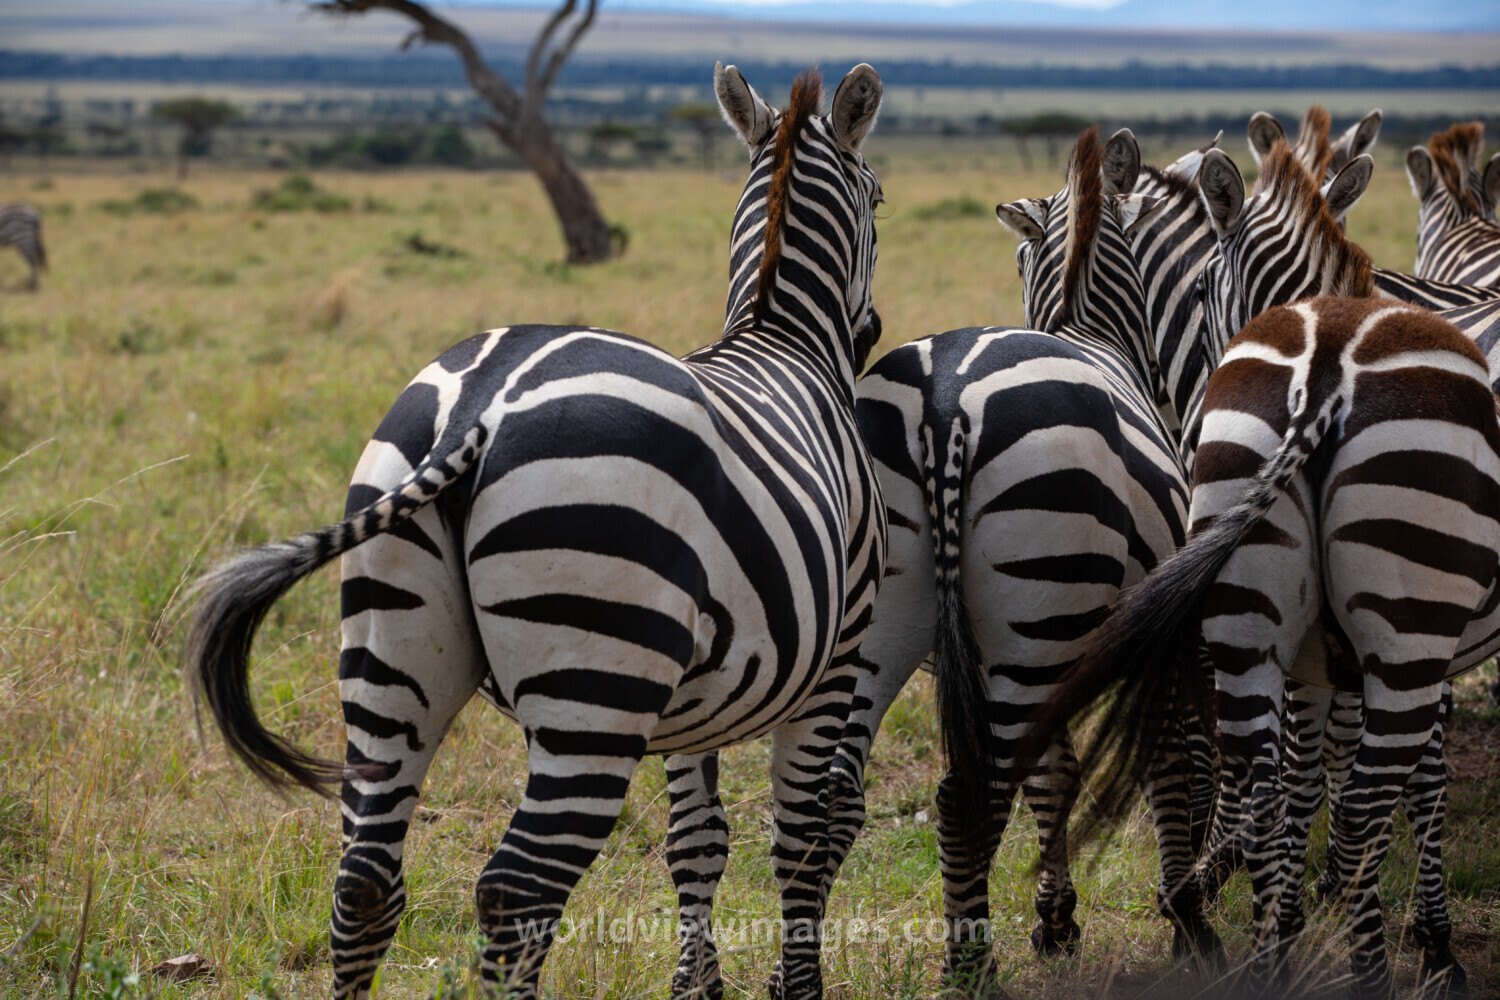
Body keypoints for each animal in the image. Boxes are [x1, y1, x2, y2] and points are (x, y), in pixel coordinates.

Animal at [185, 62, 887, 1000]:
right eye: (879, 200)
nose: (873, 334)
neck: (782, 340)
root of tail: (479, 408)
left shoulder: (696, 693)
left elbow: (697, 842)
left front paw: (699, 987)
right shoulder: (839, 649)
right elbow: (799, 840)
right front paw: (792, 986)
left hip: (394, 653)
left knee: (365, 881)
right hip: (596, 678)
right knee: (517, 890)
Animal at [1029, 141, 1497, 998]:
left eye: (1200, 288)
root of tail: (1325, 371)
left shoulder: (1316, 652)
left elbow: (1314, 776)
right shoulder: (1411, 650)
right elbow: (1408, 779)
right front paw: (1428, 940)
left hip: (1260, 614)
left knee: (1274, 785)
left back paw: (1266, 954)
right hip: (1403, 626)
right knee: (1357, 800)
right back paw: (1356, 963)